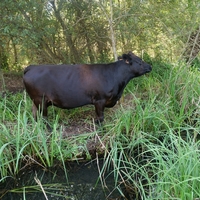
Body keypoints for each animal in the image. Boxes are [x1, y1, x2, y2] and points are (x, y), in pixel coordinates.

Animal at [23, 51, 152, 123]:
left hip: (36, 101)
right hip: (41, 100)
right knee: (43, 118)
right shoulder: (99, 100)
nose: (150, 66)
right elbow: (100, 118)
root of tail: (32, 67)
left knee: (35, 116)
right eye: (139, 61)